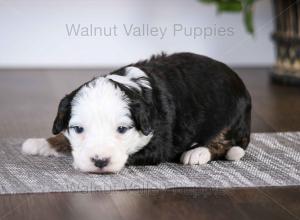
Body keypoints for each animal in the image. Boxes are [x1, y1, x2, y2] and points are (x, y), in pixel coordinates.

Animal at [22, 52, 251, 173]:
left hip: (231, 116)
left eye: (122, 129)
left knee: (225, 143)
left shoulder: (159, 145)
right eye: (78, 129)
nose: (100, 161)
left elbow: (131, 155)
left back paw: (198, 152)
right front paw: (41, 143)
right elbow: (65, 138)